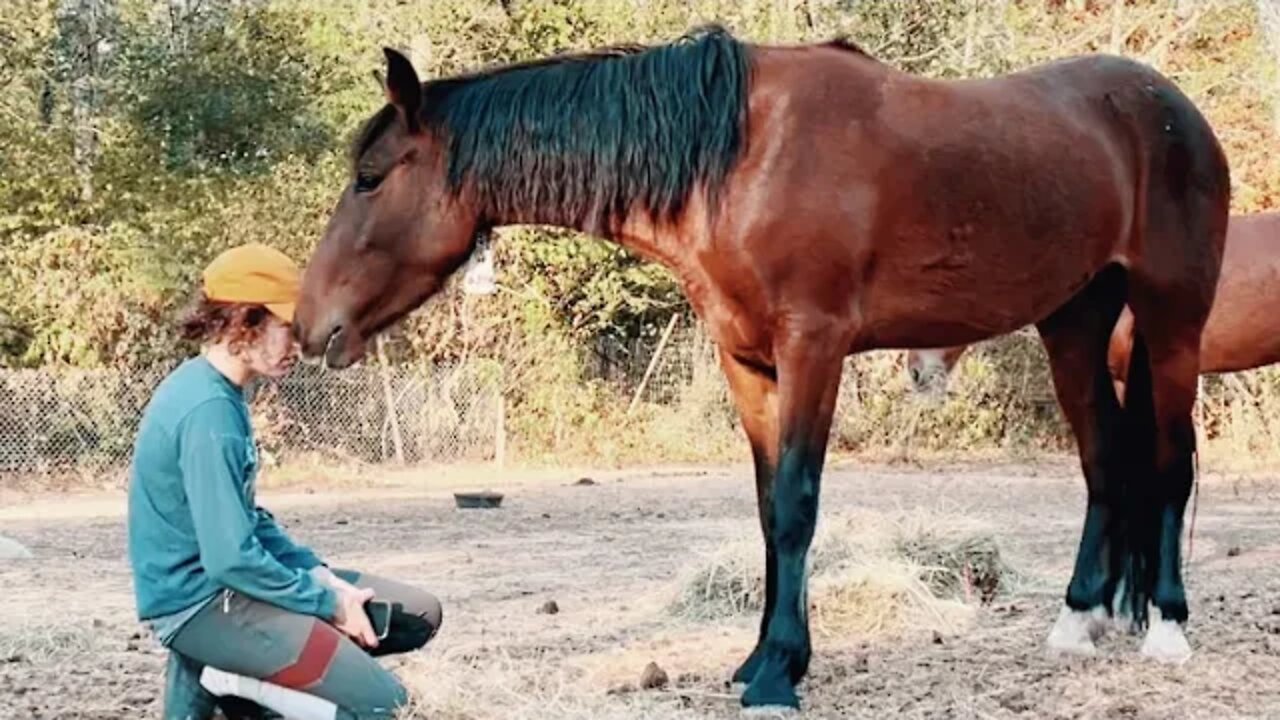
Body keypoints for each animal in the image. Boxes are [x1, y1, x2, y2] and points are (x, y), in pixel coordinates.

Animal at [290, 26, 1228, 707]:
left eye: (370, 176)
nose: (309, 323)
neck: (741, 158)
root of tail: (1175, 111)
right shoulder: (747, 363)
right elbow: (766, 504)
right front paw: (762, 659)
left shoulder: (813, 347)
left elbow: (797, 506)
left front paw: (778, 672)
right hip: (1074, 322)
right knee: (1105, 462)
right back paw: (1078, 623)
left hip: (1173, 320)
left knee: (1169, 465)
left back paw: (1168, 628)